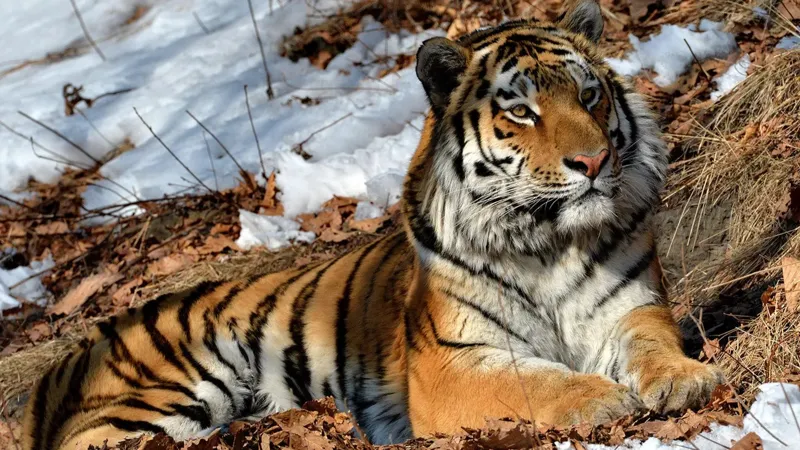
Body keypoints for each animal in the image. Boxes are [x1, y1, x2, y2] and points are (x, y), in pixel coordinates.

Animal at [21, 1, 725, 449]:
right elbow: (531, 381)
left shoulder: (633, 308)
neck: (548, 242)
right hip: (156, 401)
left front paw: (686, 378)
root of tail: (69, 357)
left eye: (589, 96)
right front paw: (594, 398)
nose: (594, 160)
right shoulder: (453, 363)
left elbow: (652, 346)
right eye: (522, 111)